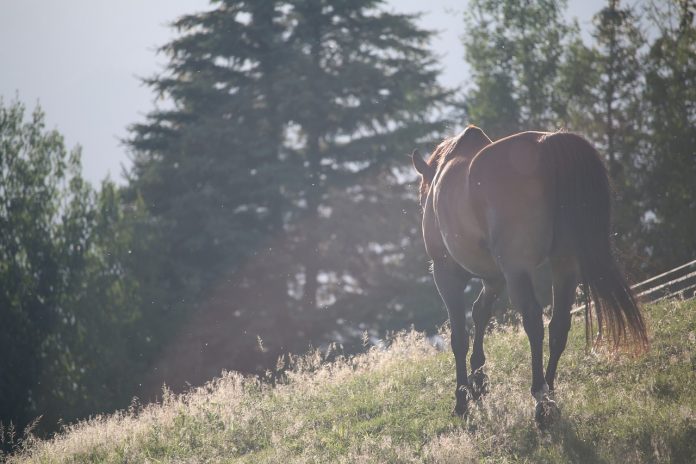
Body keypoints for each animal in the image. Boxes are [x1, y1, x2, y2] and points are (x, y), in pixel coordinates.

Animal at [411, 125, 648, 426]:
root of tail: (548, 144)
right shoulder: (495, 278)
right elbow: (480, 313)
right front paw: (479, 383)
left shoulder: (447, 275)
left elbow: (459, 337)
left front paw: (462, 399)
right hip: (564, 264)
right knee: (558, 324)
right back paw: (550, 392)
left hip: (518, 270)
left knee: (534, 322)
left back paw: (540, 399)